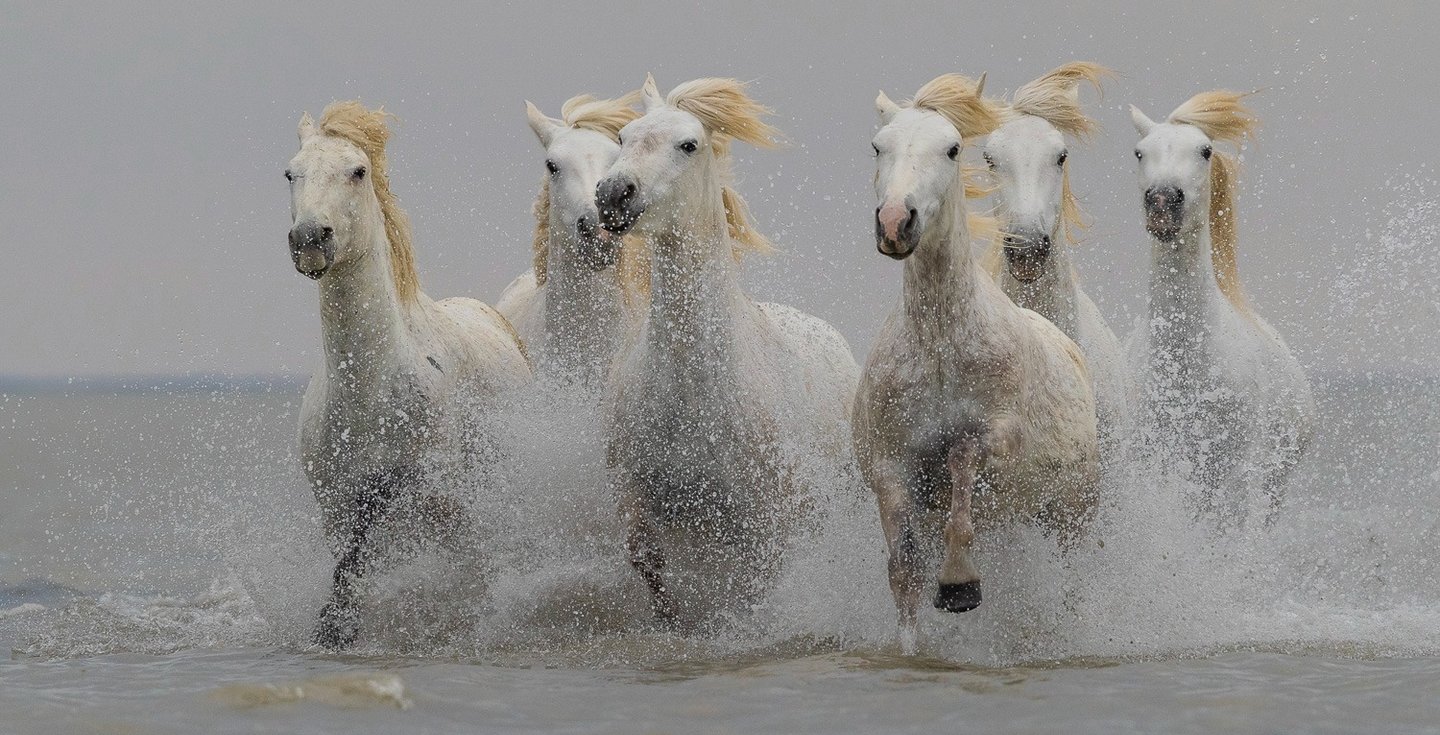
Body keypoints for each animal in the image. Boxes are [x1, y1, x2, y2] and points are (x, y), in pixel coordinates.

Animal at [286, 101, 531, 649]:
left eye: (357, 171)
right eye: (290, 173)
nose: (309, 239)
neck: (369, 394)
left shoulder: (430, 496)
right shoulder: (337, 512)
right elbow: (350, 572)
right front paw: (335, 630)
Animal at [594, 75, 860, 624]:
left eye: (688, 145)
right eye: (624, 137)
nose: (613, 194)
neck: (694, 389)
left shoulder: (764, 522)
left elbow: (756, 588)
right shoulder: (634, 492)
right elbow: (646, 560)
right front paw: (672, 622)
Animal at [852, 73, 1100, 652]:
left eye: (951, 148)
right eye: (878, 146)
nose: (895, 222)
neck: (941, 345)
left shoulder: (999, 437)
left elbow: (962, 459)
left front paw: (959, 584)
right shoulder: (890, 469)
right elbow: (904, 572)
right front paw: (912, 647)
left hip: (1072, 512)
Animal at [1127, 91, 1315, 523]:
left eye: (1205, 150)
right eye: (1140, 152)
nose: (1162, 202)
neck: (1186, 366)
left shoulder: (1230, 477)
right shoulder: (1152, 465)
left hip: (1271, 486)